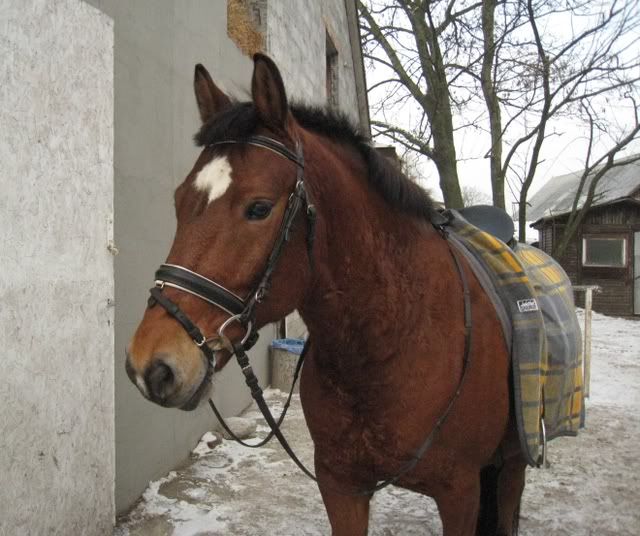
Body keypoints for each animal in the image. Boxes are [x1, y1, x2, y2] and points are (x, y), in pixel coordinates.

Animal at [125, 54, 528, 536]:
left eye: (259, 208)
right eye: (179, 201)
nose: (151, 366)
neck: (388, 344)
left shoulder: (460, 494)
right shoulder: (341, 486)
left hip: (514, 463)